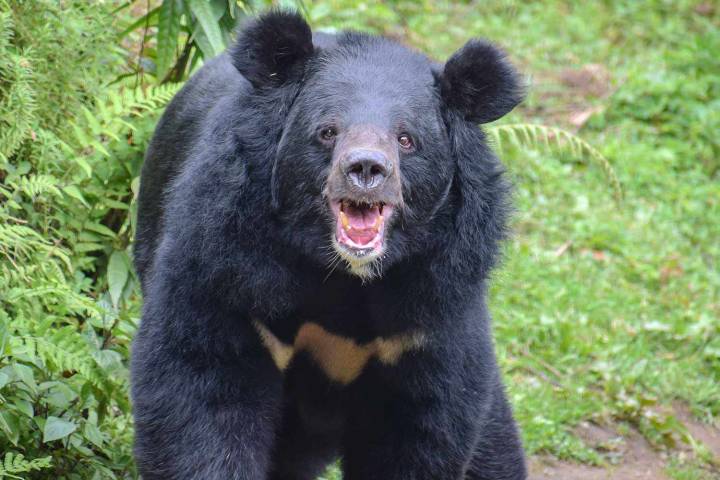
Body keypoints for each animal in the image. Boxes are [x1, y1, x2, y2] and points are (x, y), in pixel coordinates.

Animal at [131, 10, 526, 480]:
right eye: (327, 131)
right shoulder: (229, 264)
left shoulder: (431, 308)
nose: (366, 168)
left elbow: (421, 427)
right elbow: (202, 386)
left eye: (406, 139)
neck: (343, 275)